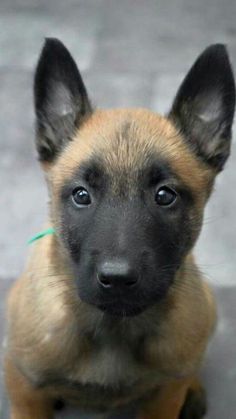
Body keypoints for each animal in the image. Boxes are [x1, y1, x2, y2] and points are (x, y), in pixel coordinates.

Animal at [4, 37, 236, 418]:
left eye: (165, 195)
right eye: (81, 195)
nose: (117, 279)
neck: (114, 329)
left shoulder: (163, 398)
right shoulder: (24, 389)